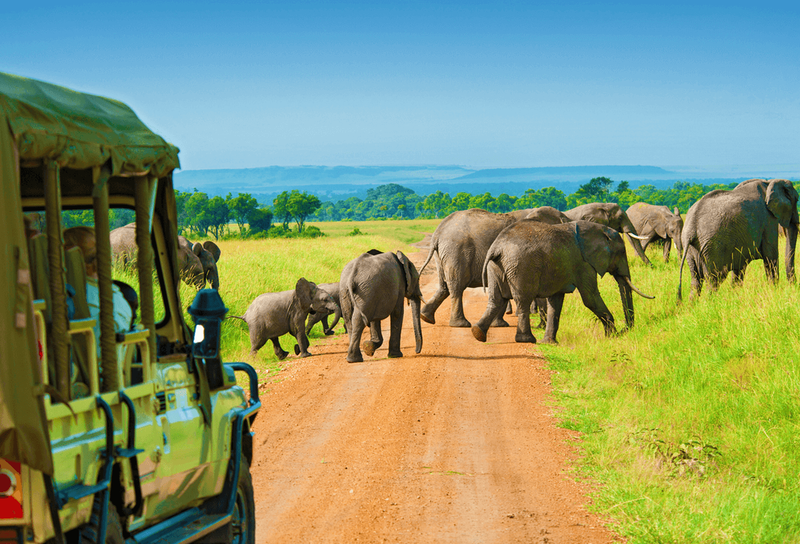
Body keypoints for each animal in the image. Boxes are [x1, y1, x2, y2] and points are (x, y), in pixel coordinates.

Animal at [472, 218, 652, 342]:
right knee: (522, 300)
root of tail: (497, 247)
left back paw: (477, 333)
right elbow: (590, 298)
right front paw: (612, 337)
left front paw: (550, 343)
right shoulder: (584, 264)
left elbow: (556, 301)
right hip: (521, 266)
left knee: (496, 299)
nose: (625, 330)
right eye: (621, 252)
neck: (599, 230)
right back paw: (527, 340)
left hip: (496, 267)